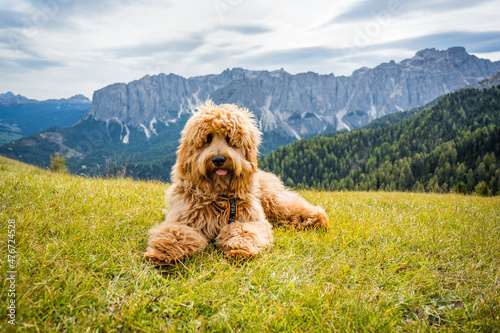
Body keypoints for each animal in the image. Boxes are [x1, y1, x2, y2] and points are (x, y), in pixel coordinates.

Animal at [145, 100, 328, 264]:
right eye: (207, 139)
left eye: (228, 138)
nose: (218, 159)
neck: (219, 195)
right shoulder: (184, 218)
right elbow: (176, 233)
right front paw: (162, 252)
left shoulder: (248, 218)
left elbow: (244, 229)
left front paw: (240, 248)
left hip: (273, 201)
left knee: (294, 206)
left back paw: (317, 219)